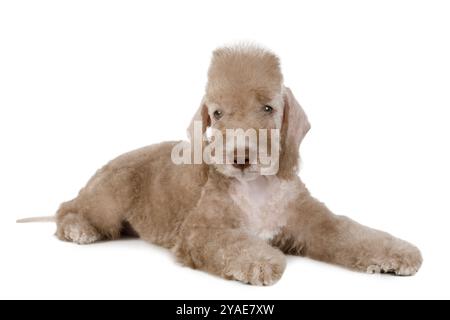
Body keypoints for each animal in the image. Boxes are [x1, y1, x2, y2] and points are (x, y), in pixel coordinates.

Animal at [17, 43, 422, 284]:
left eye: (267, 108)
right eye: (217, 113)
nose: (240, 157)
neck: (256, 187)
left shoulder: (314, 220)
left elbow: (350, 232)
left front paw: (398, 254)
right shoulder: (201, 231)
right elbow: (232, 244)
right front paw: (261, 261)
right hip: (107, 199)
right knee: (67, 209)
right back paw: (78, 230)